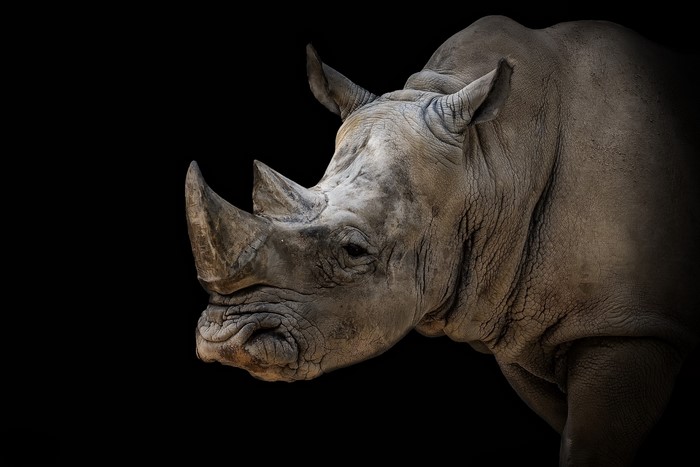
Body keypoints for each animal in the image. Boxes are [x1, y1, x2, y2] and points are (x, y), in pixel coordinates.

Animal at [185, 15, 699, 467]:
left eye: (354, 251)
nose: (222, 340)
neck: (494, 158)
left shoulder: (627, 326)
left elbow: (590, 447)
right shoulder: (526, 327)